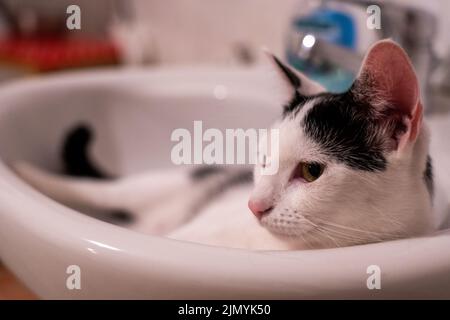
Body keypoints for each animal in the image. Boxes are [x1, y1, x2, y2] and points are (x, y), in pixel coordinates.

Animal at [12, 40, 434, 250]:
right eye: (262, 160)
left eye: (312, 171)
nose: (253, 205)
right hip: (152, 186)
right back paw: (26, 172)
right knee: (94, 188)